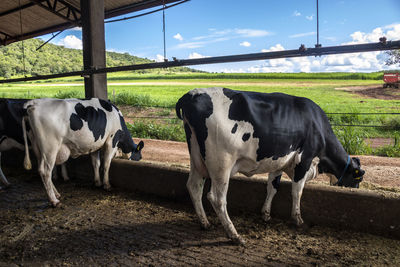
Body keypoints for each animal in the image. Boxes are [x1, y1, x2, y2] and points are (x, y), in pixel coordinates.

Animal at [177, 87, 364, 245]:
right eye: (358, 178)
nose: (355, 189)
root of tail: (191, 95)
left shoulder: (278, 162)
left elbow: (272, 187)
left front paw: (266, 214)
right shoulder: (304, 159)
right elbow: (297, 191)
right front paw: (297, 219)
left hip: (197, 158)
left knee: (194, 186)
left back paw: (205, 223)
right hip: (221, 163)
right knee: (217, 198)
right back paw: (234, 235)